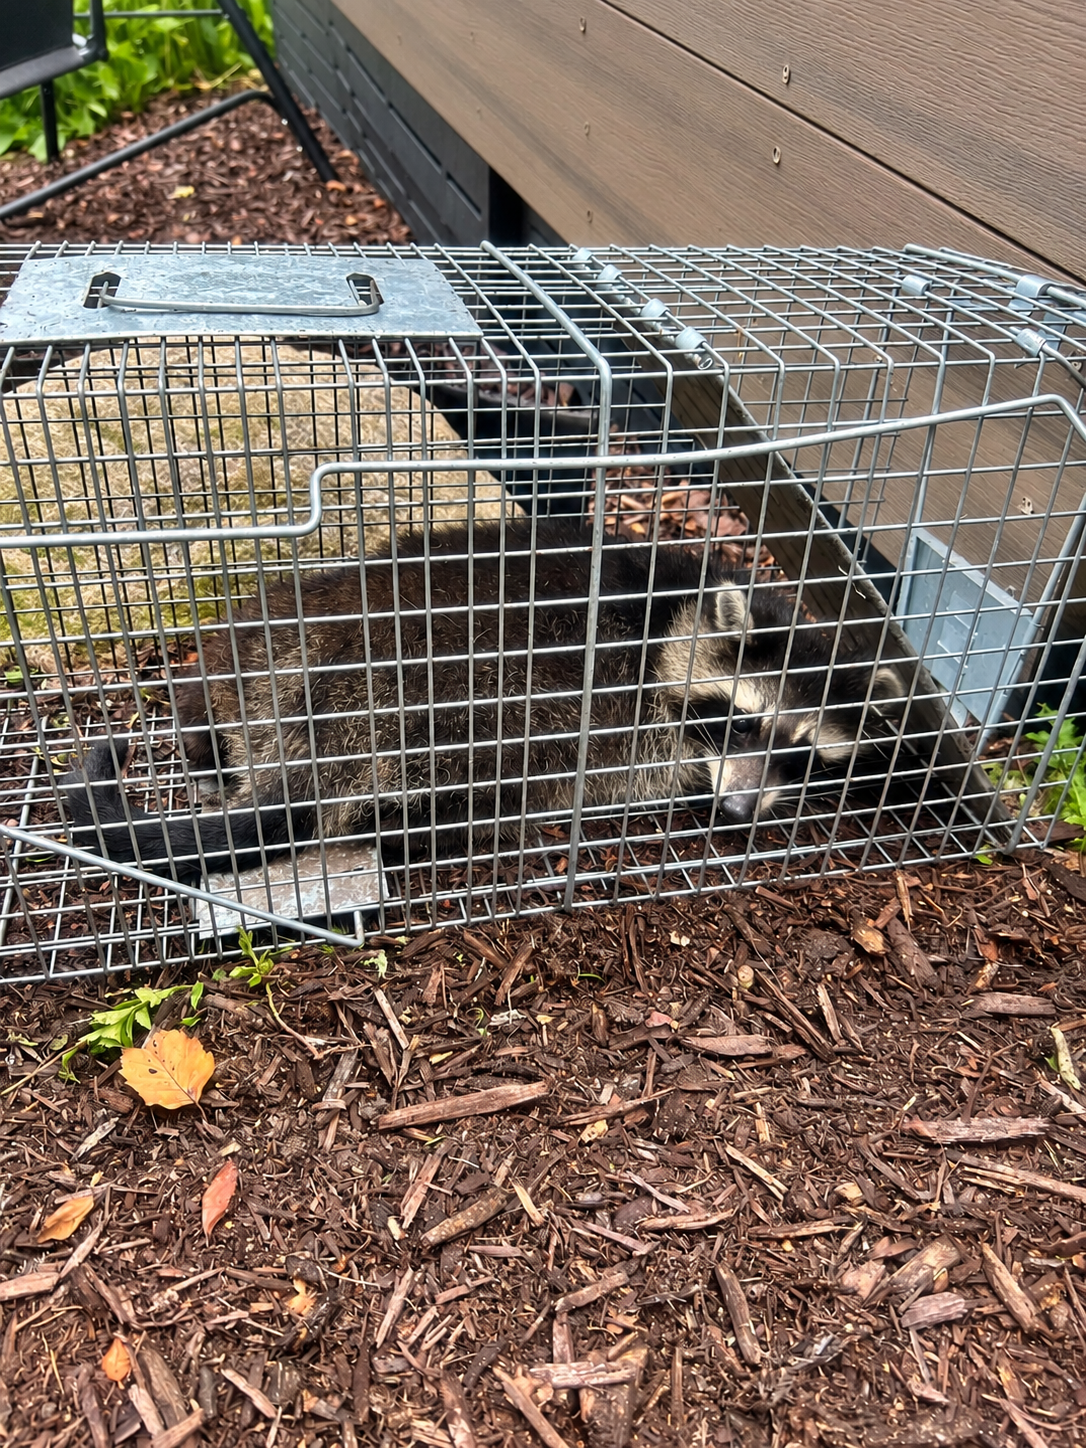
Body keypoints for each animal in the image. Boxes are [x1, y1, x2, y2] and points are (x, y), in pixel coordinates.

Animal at [61, 517, 905, 884]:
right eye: (739, 720)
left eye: (800, 751)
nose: (739, 809)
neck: (676, 611)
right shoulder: (638, 716)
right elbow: (650, 763)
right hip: (464, 702)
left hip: (266, 638)